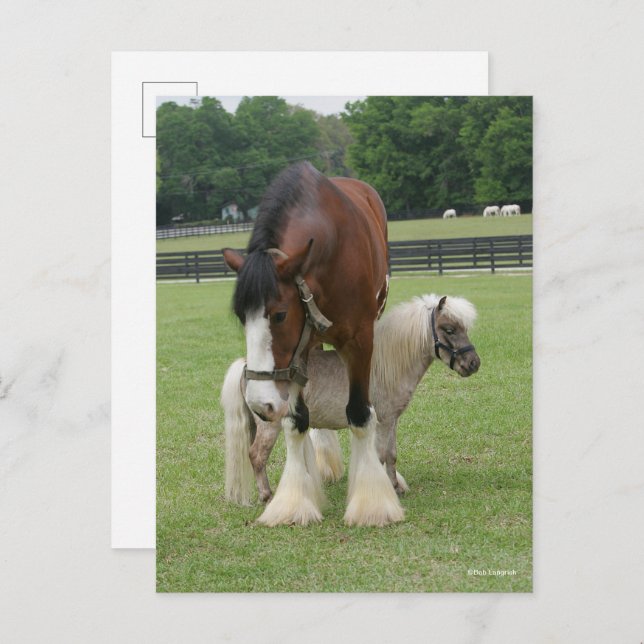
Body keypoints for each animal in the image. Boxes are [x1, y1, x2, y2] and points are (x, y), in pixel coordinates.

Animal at [222, 161, 402, 526]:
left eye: (278, 314)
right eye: (240, 316)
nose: (260, 403)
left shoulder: (361, 341)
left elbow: (360, 413)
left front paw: (372, 503)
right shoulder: (300, 349)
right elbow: (297, 420)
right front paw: (295, 500)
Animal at [222, 294, 480, 509]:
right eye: (449, 329)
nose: (473, 363)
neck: (384, 365)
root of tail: (247, 366)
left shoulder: (391, 420)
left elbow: (392, 454)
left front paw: (395, 486)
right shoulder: (383, 422)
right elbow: (382, 455)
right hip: (269, 425)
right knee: (257, 456)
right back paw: (267, 496)